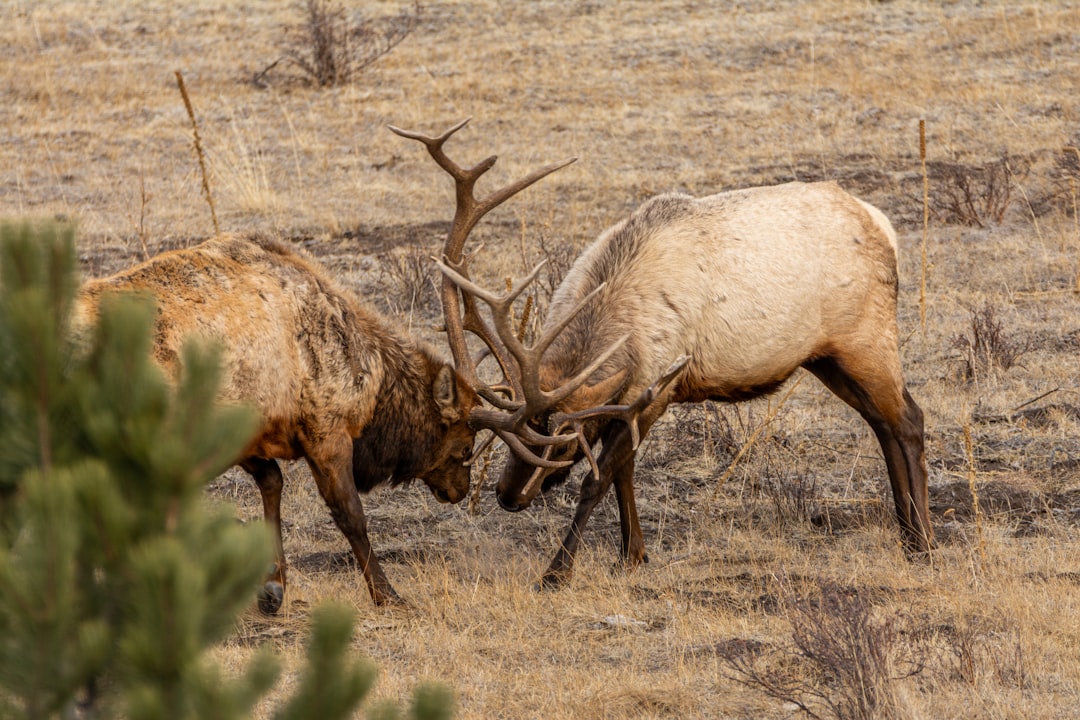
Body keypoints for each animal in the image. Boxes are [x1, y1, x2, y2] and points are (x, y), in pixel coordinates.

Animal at [393, 120, 933, 591]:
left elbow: (598, 480)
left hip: (866, 335)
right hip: (825, 357)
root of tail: (884, 226)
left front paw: (557, 571)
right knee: (881, 423)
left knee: (908, 418)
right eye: (507, 445)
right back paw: (907, 534)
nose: (506, 496)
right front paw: (632, 554)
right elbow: (624, 474)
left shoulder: (659, 387)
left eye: (563, 447)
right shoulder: (629, 399)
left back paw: (923, 542)